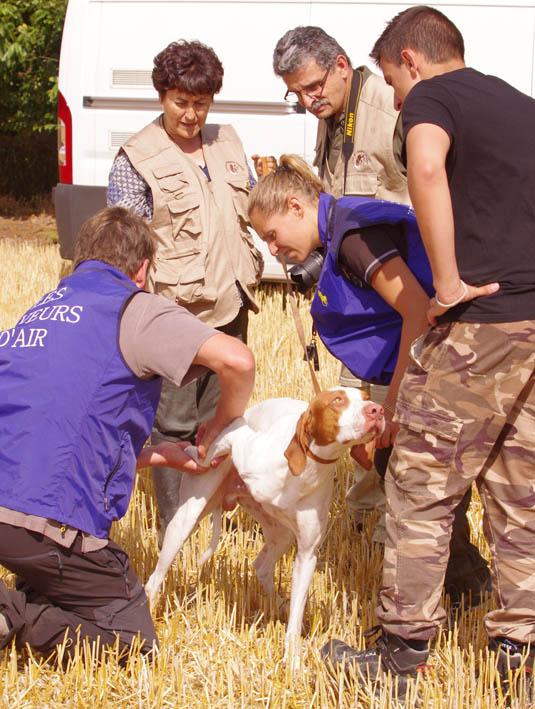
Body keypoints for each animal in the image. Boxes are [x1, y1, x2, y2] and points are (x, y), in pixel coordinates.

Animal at [144, 388, 384, 660]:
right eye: (337, 400)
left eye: (366, 397)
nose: (377, 410)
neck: (305, 470)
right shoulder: (243, 442)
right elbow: (234, 434)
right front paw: (197, 451)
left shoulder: (307, 554)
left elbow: (296, 612)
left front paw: (293, 658)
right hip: (185, 519)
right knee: (154, 579)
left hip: (281, 535)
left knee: (261, 567)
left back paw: (279, 604)